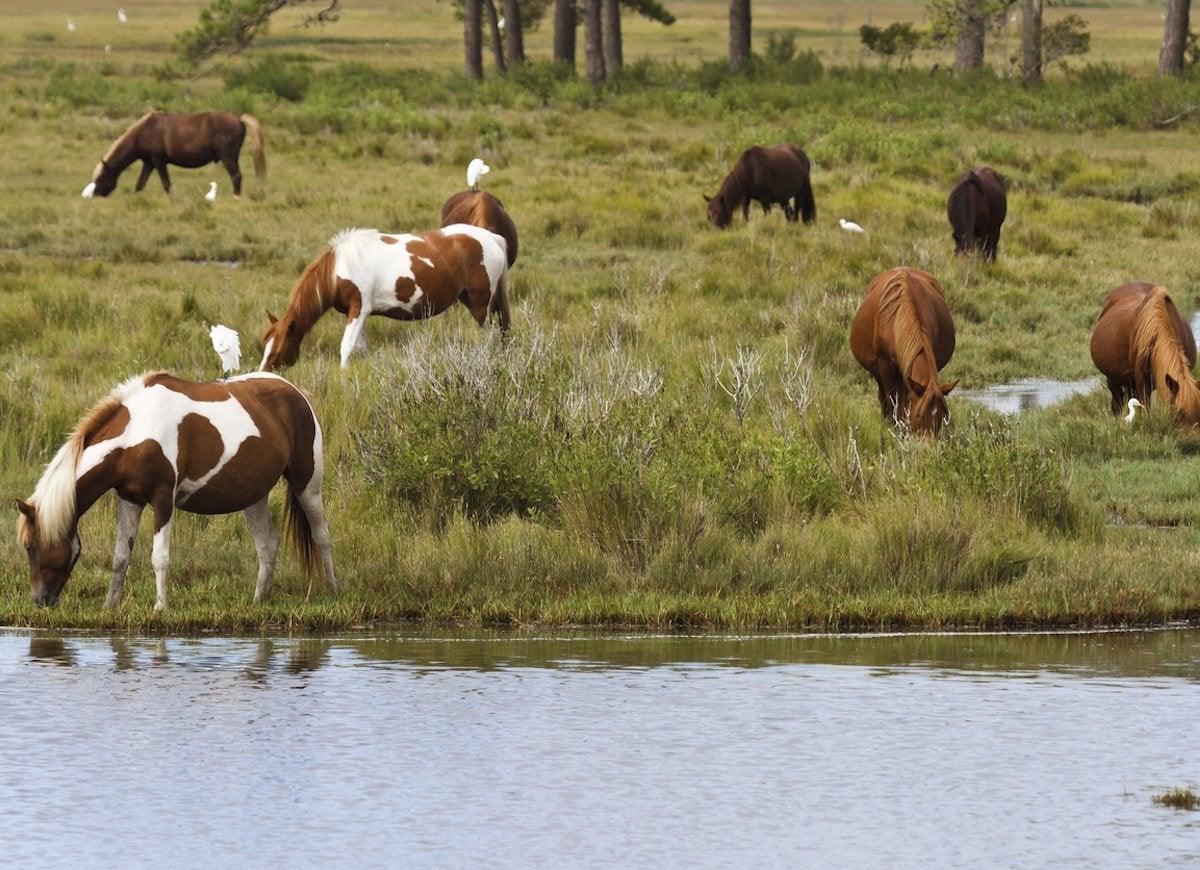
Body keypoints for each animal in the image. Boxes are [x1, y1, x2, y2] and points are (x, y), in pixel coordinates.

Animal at [15, 369, 338, 607]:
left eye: (31, 546)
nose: (41, 600)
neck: (138, 430)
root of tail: (297, 392)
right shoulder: (129, 498)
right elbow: (120, 556)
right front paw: (110, 606)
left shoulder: (162, 498)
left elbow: (159, 557)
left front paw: (160, 607)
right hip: (253, 496)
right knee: (268, 544)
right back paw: (259, 600)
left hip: (308, 485)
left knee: (322, 535)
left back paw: (333, 590)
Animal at [81, 110, 265, 196]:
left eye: (101, 178)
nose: (96, 195)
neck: (145, 131)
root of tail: (239, 118)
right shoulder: (149, 163)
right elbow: (140, 184)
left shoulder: (159, 161)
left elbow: (166, 184)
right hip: (234, 157)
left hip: (227, 158)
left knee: (236, 176)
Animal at [260, 224, 508, 369]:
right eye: (266, 346)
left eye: (279, 349)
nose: (264, 372)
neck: (340, 267)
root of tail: (492, 238)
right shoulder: (356, 313)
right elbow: (360, 347)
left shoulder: (358, 310)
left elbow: (346, 347)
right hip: (469, 300)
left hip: (480, 303)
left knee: (490, 336)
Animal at [849, 265, 960, 434]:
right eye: (919, 413)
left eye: (943, 416)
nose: (927, 441)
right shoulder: (886, 367)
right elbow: (892, 400)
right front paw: (894, 426)